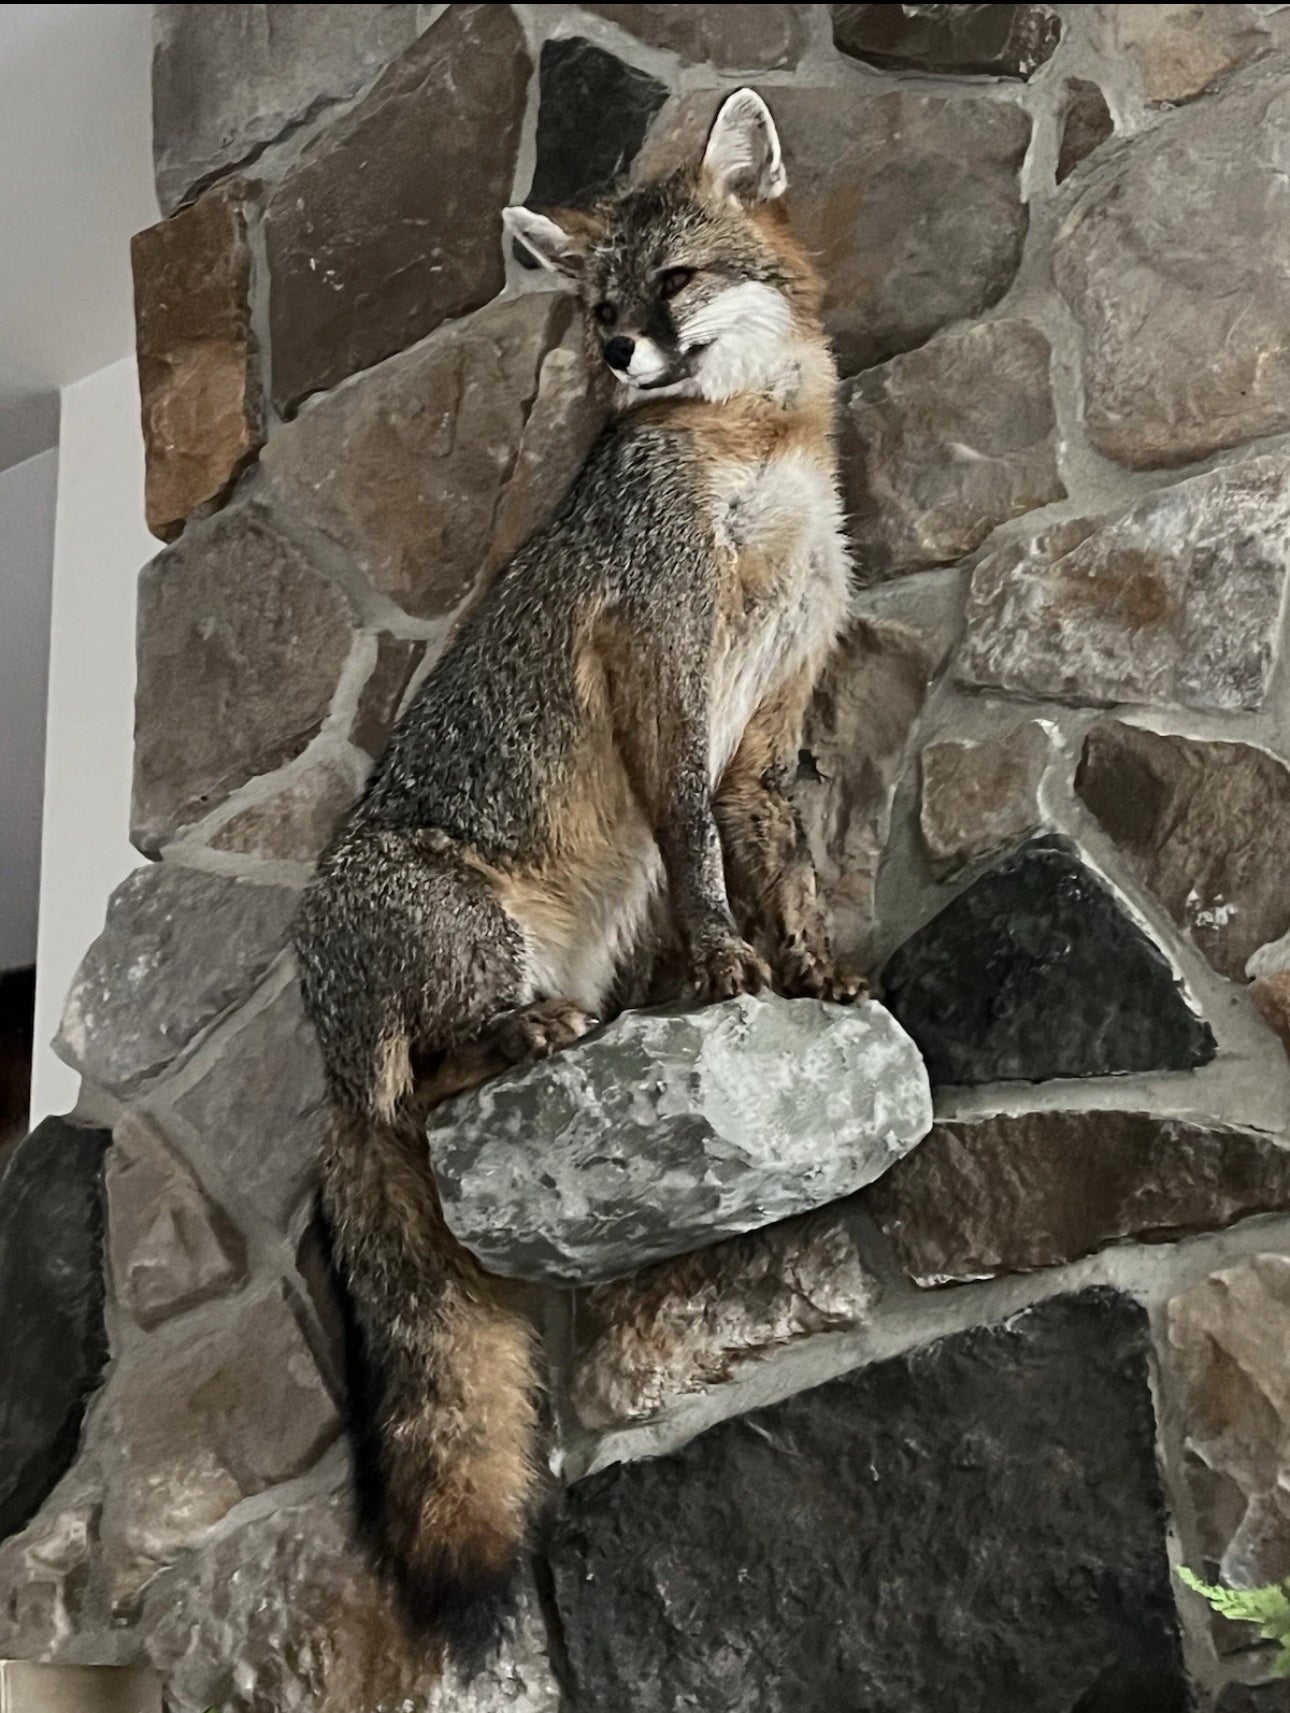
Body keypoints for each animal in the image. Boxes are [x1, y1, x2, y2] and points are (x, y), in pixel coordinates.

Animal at [292, 87, 864, 1671]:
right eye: (601, 312)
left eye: (669, 287)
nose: (613, 358)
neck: (754, 445)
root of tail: (321, 1049)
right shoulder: (663, 661)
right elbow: (696, 847)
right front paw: (724, 968)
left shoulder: (772, 707)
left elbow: (773, 857)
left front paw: (805, 966)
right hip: (461, 932)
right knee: (428, 1085)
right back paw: (527, 1037)